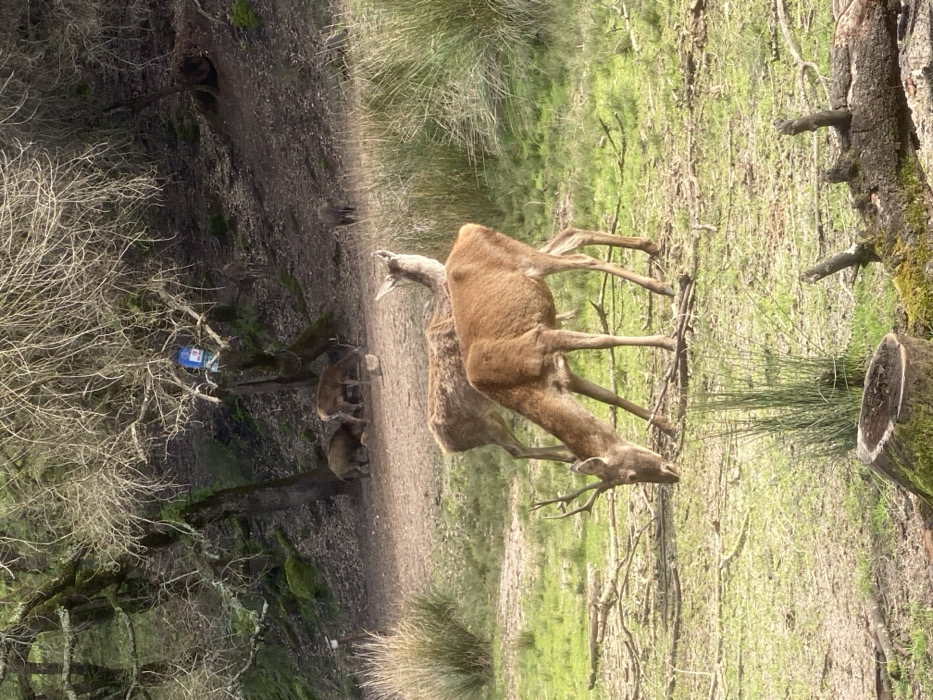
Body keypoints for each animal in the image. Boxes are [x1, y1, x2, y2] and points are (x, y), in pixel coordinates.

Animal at [444, 223, 680, 486]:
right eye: (630, 477)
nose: (672, 473)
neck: (524, 382)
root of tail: (467, 230)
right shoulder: (561, 372)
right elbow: (610, 396)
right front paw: (666, 425)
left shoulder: (541, 339)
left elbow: (603, 340)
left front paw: (670, 342)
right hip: (525, 259)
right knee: (571, 237)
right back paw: (649, 246)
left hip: (524, 259)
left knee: (581, 258)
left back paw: (660, 284)